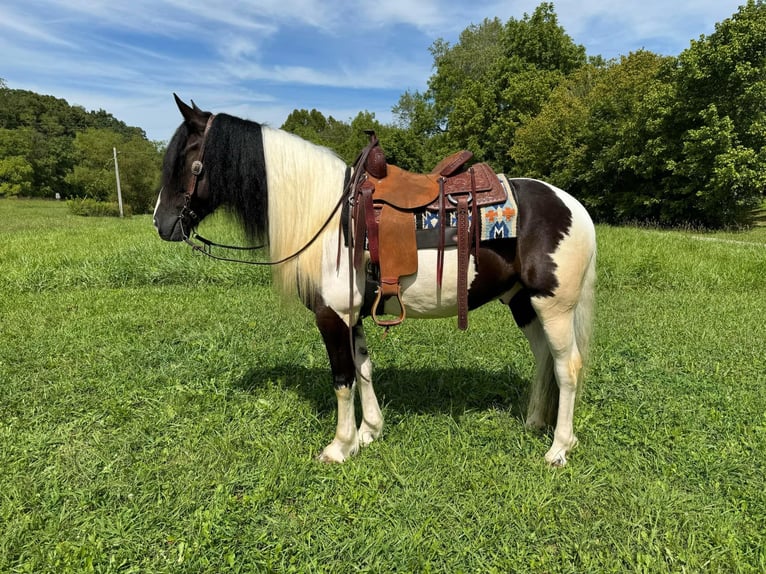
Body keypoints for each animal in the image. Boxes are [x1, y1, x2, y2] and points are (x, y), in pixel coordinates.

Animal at [153, 95, 597, 467]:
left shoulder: (331, 315)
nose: (161, 223)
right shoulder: (354, 315)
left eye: (187, 162)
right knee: (544, 358)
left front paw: (339, 446)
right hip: (523, 302)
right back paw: (534, 422)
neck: (328, 217)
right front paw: (368, 433)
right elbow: (364, 369)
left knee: (567, 367)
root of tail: (574, 206)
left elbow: (342, 377)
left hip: (553, 306)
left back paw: (559, 448)